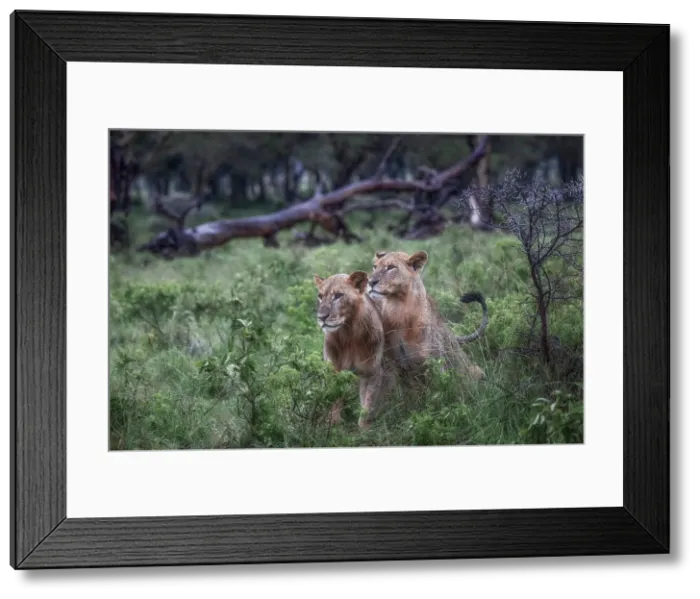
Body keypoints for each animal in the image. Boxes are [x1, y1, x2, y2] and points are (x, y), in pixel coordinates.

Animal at [313, 271, 396, 429]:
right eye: (320, 296)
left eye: (338, 295)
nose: (321, 317)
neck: (348, 334)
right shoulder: (334, 370)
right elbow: (335, 396)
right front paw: (333, 423)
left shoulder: (372, 372)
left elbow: (367, 405)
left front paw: (364, 429)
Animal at [366, 250, 488, 381]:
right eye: (375, 266)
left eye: (391, 267)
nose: (370, 282)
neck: (398, 306)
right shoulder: (389, 364)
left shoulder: (435, 361)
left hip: (476, 369)